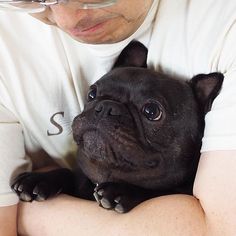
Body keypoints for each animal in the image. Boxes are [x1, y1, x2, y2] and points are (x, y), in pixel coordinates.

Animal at [11, 41, 225, 213]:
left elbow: (160, 192)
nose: (106, 107)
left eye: (152, 111)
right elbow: (69, 173)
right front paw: (37, 180)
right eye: (91, 93)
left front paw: (121, 191)